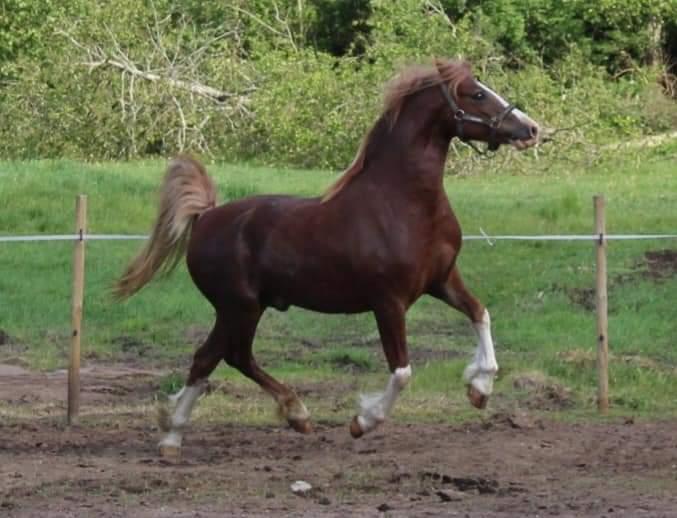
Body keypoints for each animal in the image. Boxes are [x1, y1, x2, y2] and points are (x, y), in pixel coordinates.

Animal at [116, 59, 540, 458]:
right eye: (477, 94)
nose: (530, 129)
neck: (406, 206)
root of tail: (205, 217)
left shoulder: (442, 280)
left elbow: (480, 314)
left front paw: (479, 388)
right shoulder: (389, 301)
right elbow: (402, 371)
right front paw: (363, 421)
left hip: (248, 307)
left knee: (232, 356)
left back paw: (290, 415)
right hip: (238, 306)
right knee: (210, 358)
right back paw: (175, 435)